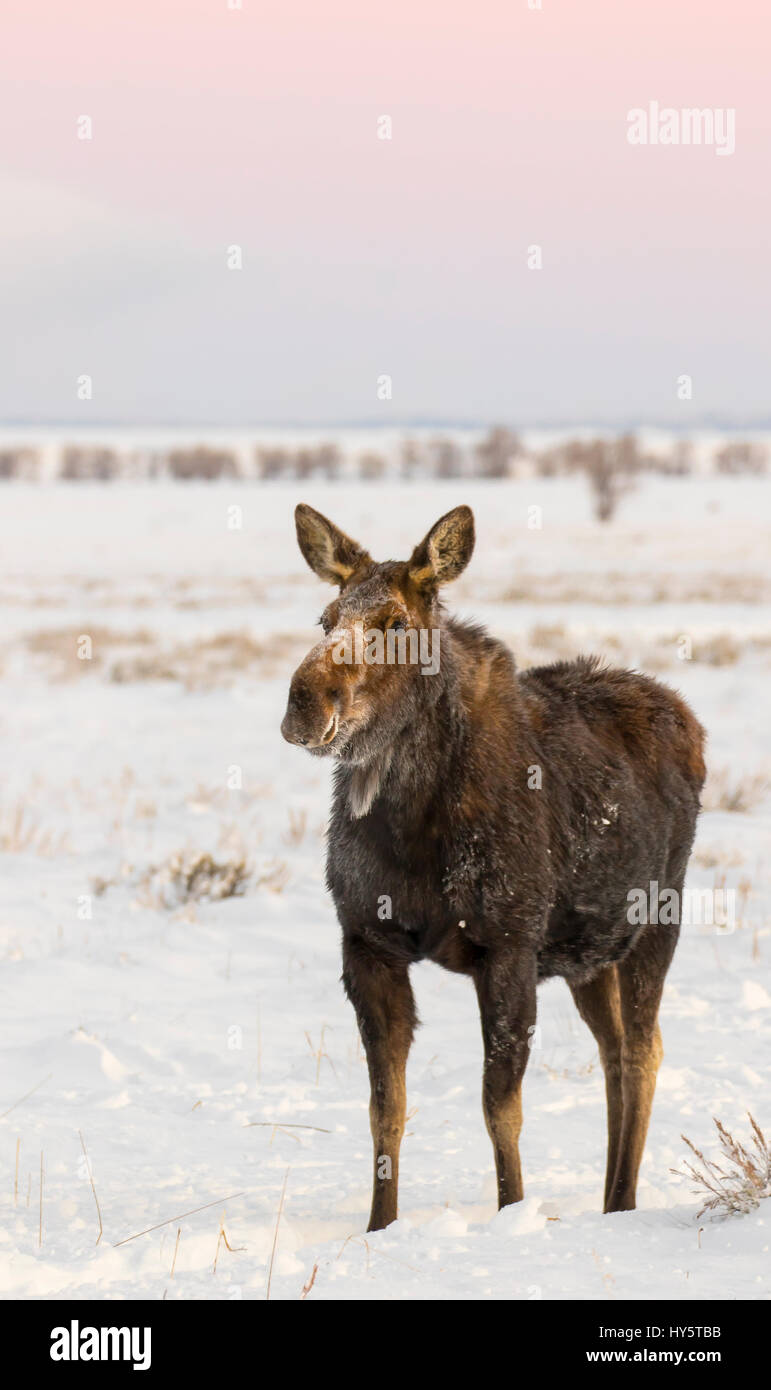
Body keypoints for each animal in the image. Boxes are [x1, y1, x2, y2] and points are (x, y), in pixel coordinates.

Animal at [282, 505, 705, 1234]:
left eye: (395, 623)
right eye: (326, 616)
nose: (305, 703)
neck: (411, 822)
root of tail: (692, 725)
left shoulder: (507, 945)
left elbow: (499, 1107)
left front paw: (511, 1213)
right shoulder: (366, 943)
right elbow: (385, 1109)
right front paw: (379, 1227)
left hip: (657, 921)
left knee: (643, 1051)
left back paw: (622, 1199)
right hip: (586, 956)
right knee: (615, 1051)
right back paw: (608, 1198)